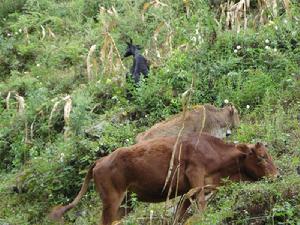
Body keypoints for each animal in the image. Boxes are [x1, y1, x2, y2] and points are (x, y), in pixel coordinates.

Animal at [48, 134, 276, 225]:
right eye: (261, 157)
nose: (277, 175)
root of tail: (100, 160)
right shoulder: (196, 177)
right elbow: (201, 206)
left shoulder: (189, 190)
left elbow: (180, 214)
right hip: (111, 201)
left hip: (125, 203)